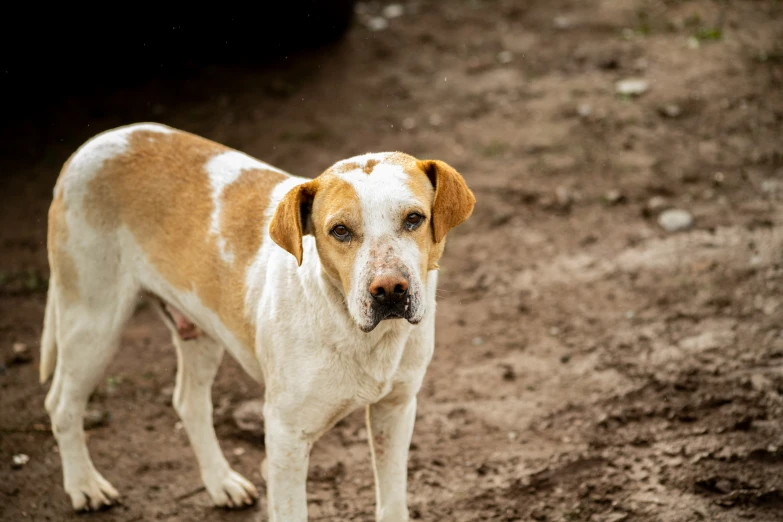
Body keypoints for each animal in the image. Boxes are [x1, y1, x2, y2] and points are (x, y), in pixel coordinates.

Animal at [39, 121, 474, 516]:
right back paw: (84, 486)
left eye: (414, 219)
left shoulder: (395, 410)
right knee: (60, 404)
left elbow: (393, 501)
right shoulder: (286, 438)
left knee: (188, 402)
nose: (389, 290)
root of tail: (92, 144)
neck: (358, 332)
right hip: (93, 324)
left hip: (199, 330)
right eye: (340, 231)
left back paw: (221, 483)